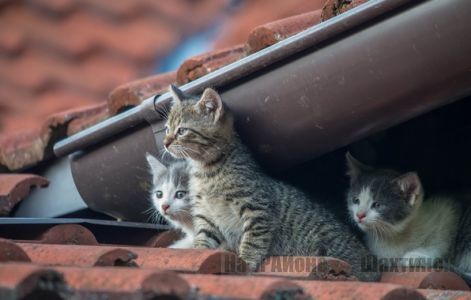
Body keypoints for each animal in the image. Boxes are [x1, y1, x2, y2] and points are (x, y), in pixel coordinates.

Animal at [162, 85, 380, 282]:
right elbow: (203, 241)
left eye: (182, 131)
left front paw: (245, 263)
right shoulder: (205, 216)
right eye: (167, 129)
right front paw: (199, 255)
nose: (165, 142)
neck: (206, 172)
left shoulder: (257, 211)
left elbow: (252, 242)